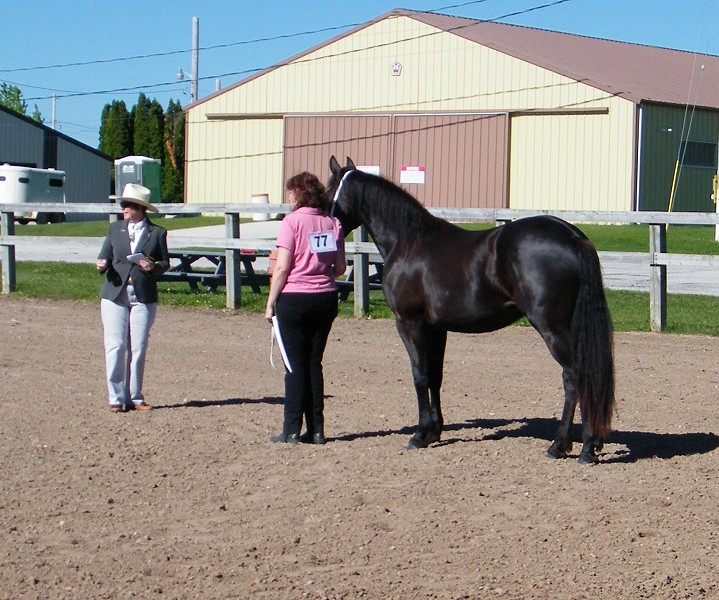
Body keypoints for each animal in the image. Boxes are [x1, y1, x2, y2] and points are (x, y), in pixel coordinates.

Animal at [327, 156, 615, 464]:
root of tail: (573, 236)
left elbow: (420, 375)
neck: (409, 243)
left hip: (553, 328)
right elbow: (435, 375)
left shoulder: (409, 323)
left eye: (328, 188)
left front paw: (419, 435)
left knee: (575, 378)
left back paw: (569, 446)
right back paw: (587, 444)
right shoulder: (435, 328)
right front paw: (434, 432)